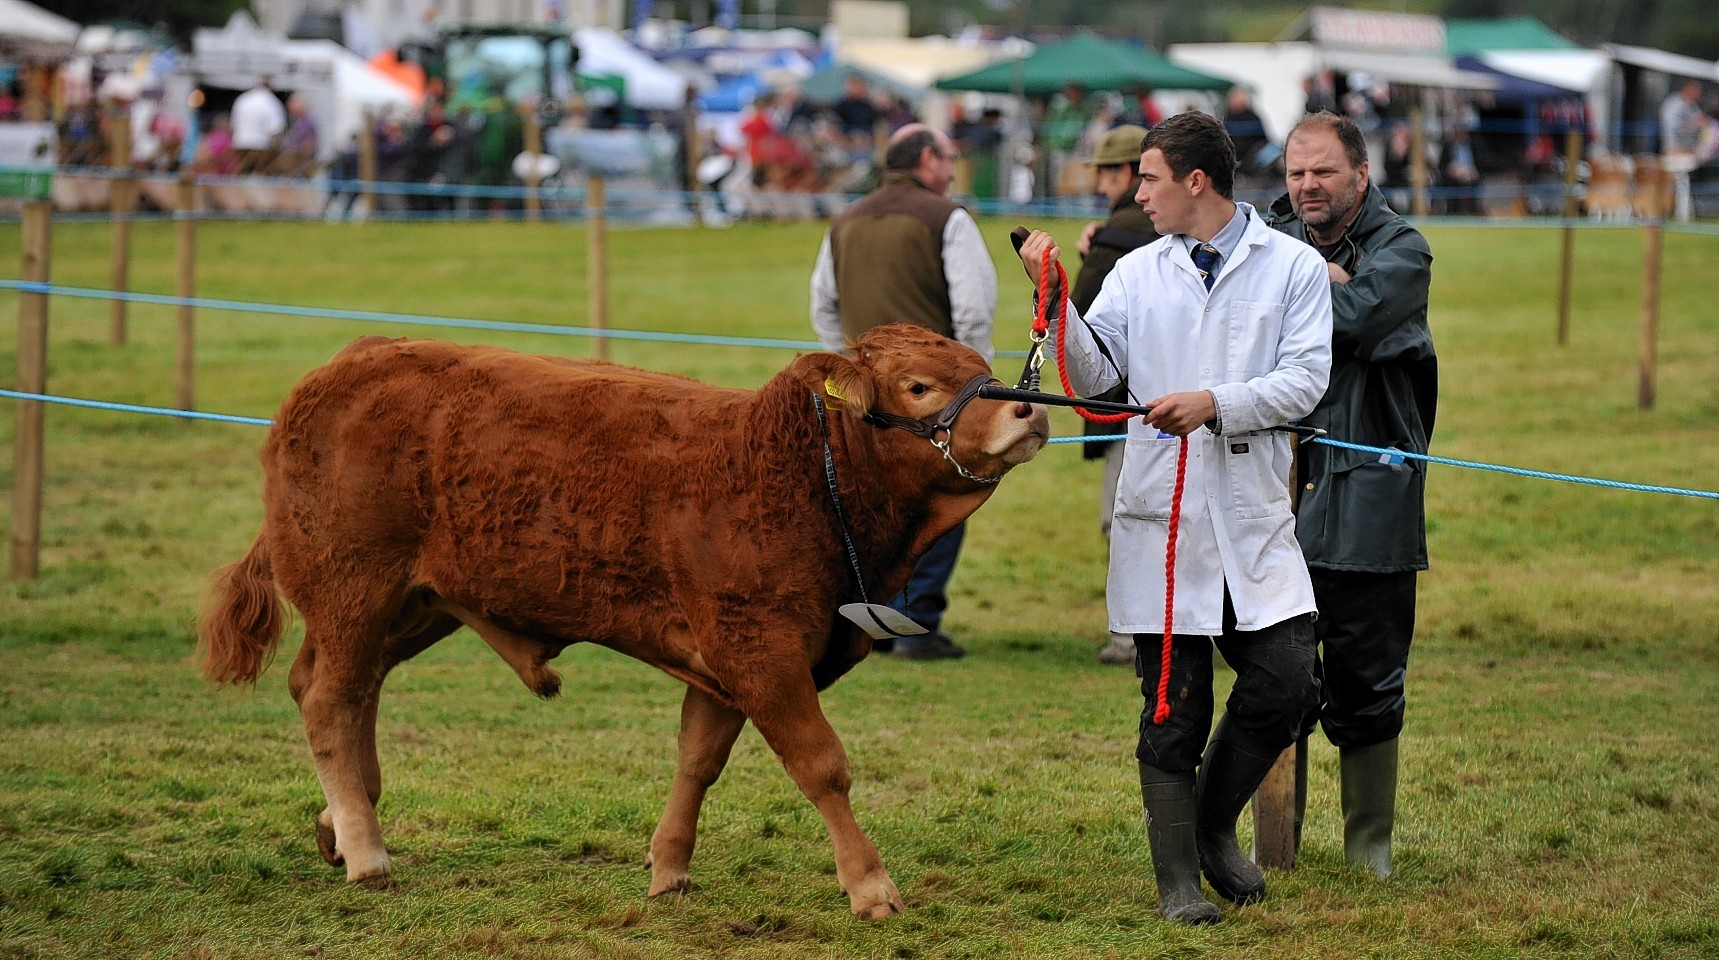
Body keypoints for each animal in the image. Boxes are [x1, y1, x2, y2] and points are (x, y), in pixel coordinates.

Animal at [199, 326, 1045, 922]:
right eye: (918, 384)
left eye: (979, 360)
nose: (1026, 406)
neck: (795, 476)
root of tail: (350, 362)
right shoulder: (759, 651)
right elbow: (821, 766)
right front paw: (870, 885)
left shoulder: (724, 662)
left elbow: (697, 763)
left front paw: (669, 868)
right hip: (354, 587)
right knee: (330, 701)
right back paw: (367, 850)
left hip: (413, 605)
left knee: (342, 689)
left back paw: (341, 823)